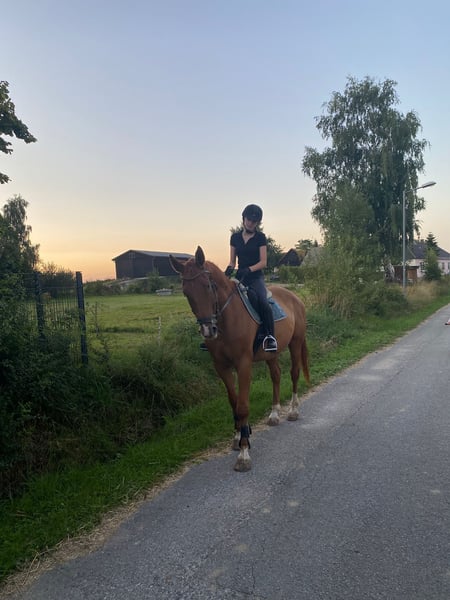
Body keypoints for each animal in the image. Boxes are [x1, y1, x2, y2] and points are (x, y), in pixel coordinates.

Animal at [169, 246, 310, 472]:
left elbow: (243, 406)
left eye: (208, 286)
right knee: (276, 376)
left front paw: (244, 453)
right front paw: (239, 436)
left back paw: (293, 411)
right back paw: (274, 414)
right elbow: (233, 402)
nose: (208, 330)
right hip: (271, 353)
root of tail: (294, 297)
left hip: (295, 343)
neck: (227, 319)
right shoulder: (221, 367)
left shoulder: (243, 364)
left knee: (294, 373)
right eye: (186, 292)